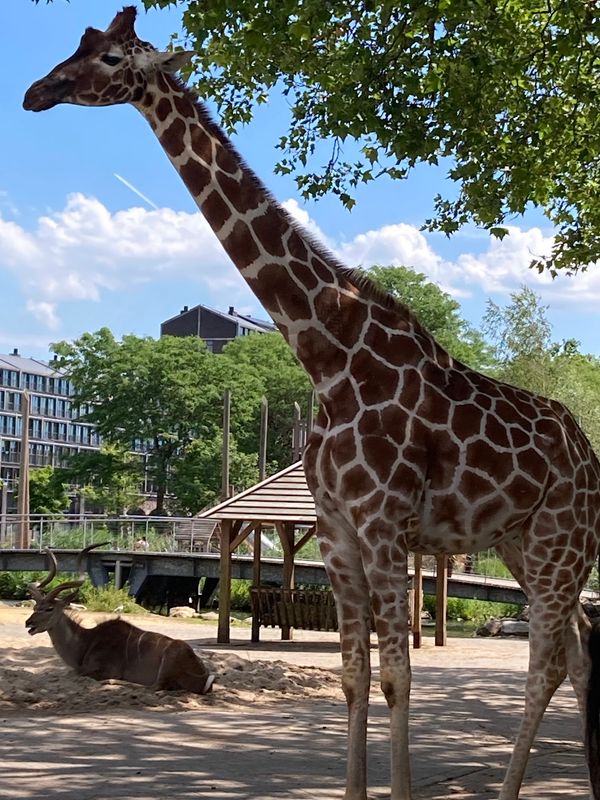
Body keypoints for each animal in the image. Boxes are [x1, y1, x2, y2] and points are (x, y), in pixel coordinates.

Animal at [27, 544, 218, 692]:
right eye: (35, 607)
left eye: (49, 608)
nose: (28, 623)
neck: (87, 641)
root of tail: (204, 678)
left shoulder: (98, 670)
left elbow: (78, 674)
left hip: (167, 662)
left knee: (155, 687)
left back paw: (114, 682)